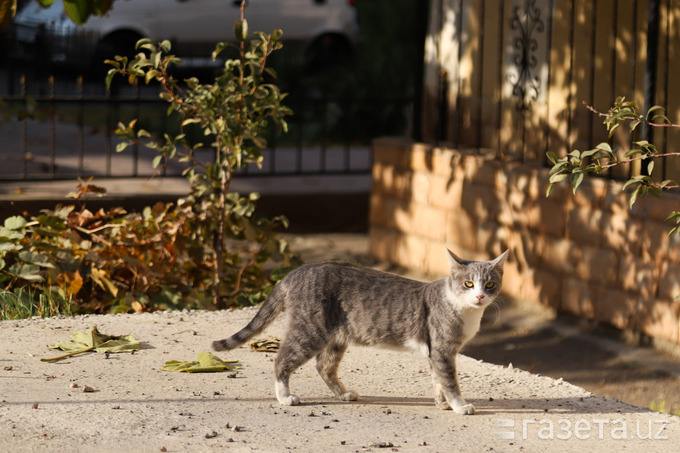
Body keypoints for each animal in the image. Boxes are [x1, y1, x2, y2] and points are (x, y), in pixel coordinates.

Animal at [212, 249, 504, 414]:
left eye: (490, 284)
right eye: (468, 284)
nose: (480, 296)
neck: (463, 310)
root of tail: (296, 272)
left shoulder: (436, 352)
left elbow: (438, 380)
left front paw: (441, 403)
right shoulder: (443, 350)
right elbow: (451, 382)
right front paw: (459, 406)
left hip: (336, 336)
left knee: (324, 366)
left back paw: (343, 394)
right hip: (310, 331)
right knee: (281, 360)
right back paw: (285, 397)